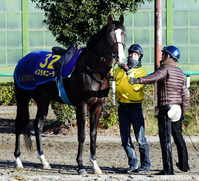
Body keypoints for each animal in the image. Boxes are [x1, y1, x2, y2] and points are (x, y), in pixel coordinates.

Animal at [14, 15, 126, 174]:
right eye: (109, 35)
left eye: (124, 34)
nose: (121, 58)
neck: (92, 69)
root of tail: (21, 60)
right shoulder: (82, 105)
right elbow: (82, 135)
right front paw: (80, 166)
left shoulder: (98, 106)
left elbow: (93, 134)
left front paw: (95, 165)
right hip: (22, 98)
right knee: (18, 125)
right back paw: (18, 161)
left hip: (43, 100)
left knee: (38, 126)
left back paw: (44, 161)